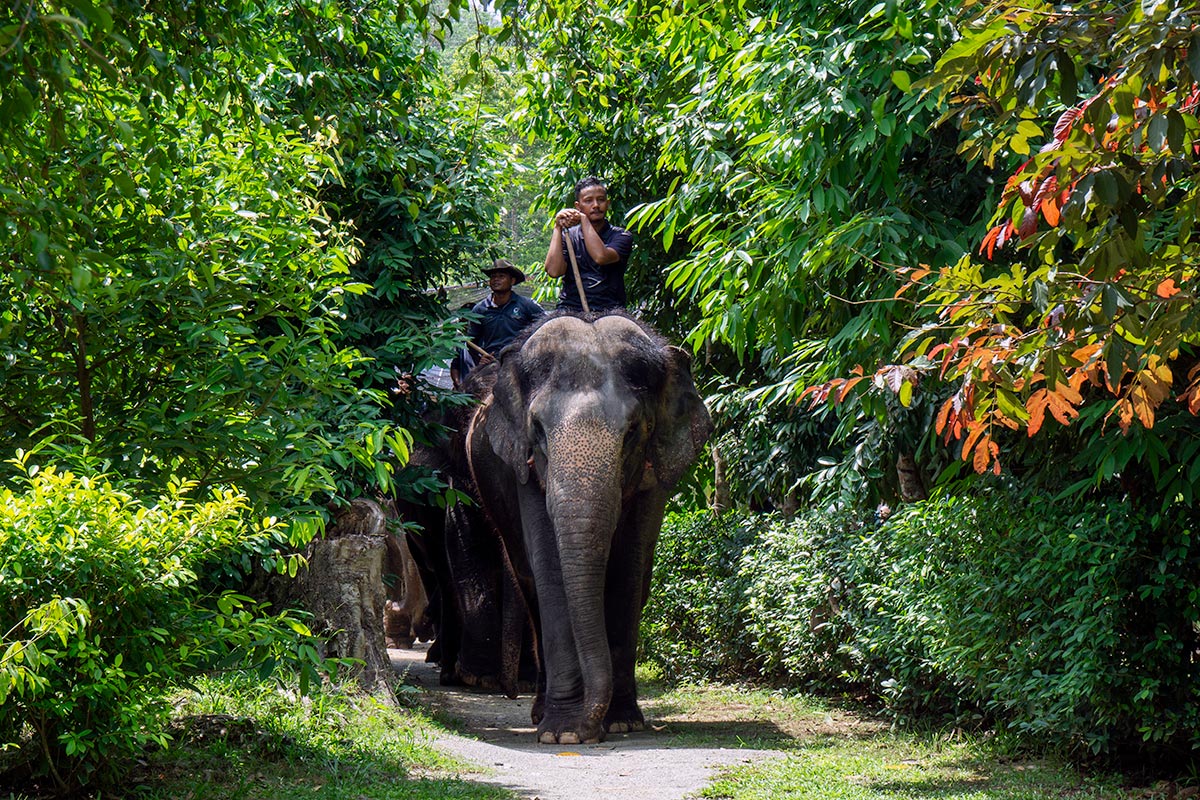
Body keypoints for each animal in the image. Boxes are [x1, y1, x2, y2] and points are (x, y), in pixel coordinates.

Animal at [459, 311, 712, 744]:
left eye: (633, 431)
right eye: (538, 429)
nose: (587, 729)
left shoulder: (654, 478)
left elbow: (628, 569)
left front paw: (620, 723)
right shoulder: (524, 469)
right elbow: (550, 571)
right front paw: (562, 734)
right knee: (531, 586)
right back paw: (541, 714)